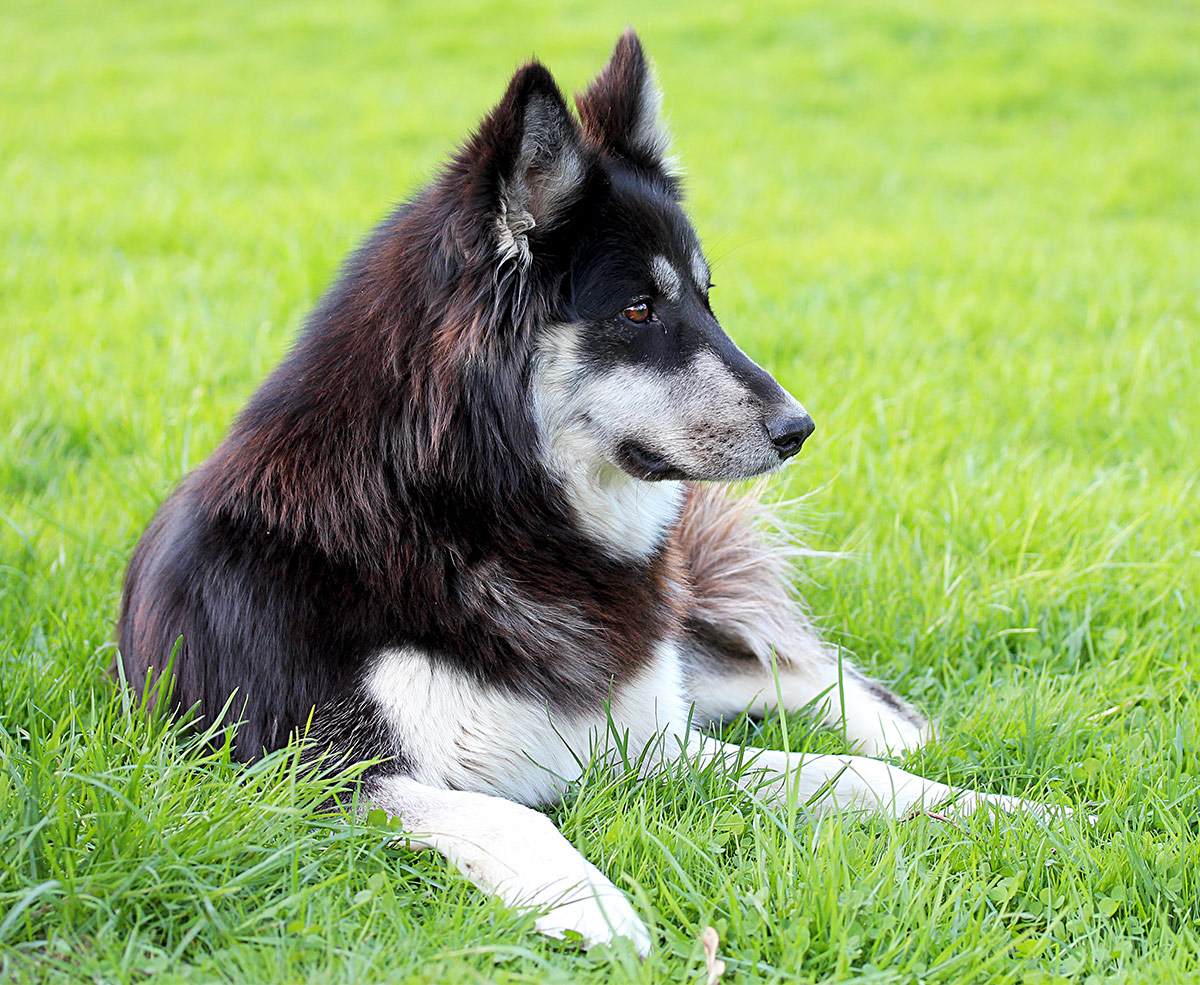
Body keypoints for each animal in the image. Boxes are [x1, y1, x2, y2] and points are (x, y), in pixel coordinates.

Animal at [117, 30, 1065, 955]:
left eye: (708, 297)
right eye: (639, 309)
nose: (798, 428)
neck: (468, 514)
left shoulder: (648, 736)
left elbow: (846, 772)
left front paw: (1006, 811)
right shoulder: (312, 773)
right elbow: (511, 817)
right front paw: (600, 908)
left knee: (784, 668)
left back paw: (906, 729)